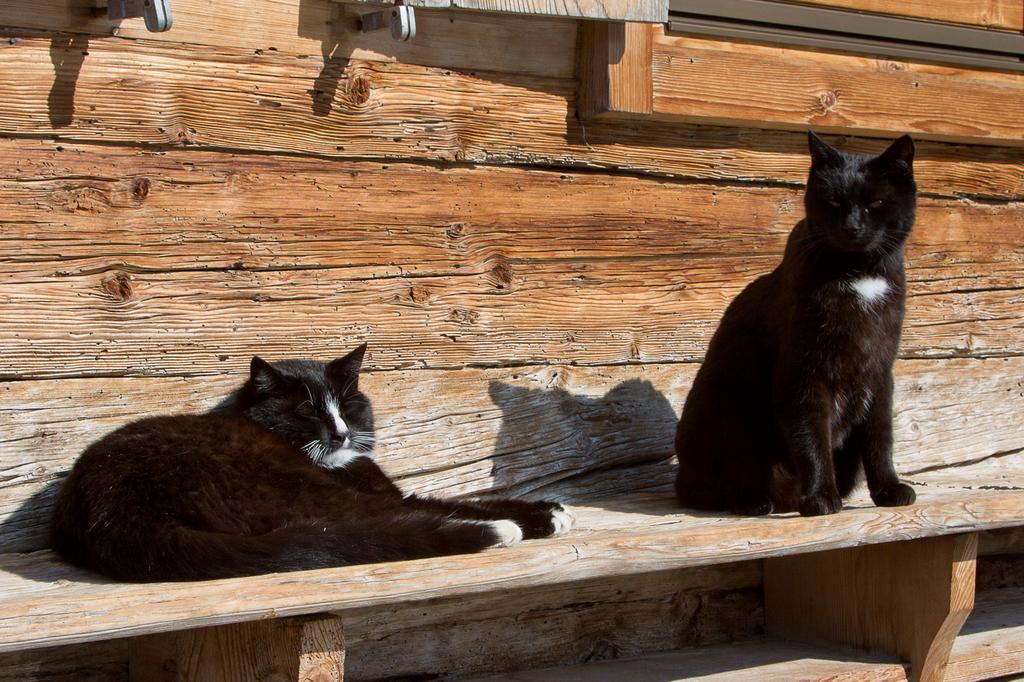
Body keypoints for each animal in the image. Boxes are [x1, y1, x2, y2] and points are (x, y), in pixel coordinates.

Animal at [51, 346, 573, 577]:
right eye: (308, 412)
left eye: (348, 405)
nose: (341, 432)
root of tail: (112, 515)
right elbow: (448, 502)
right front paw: (536, 516)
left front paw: (551, 511)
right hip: (290, 488)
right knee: (388, 520)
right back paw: (497, 532)